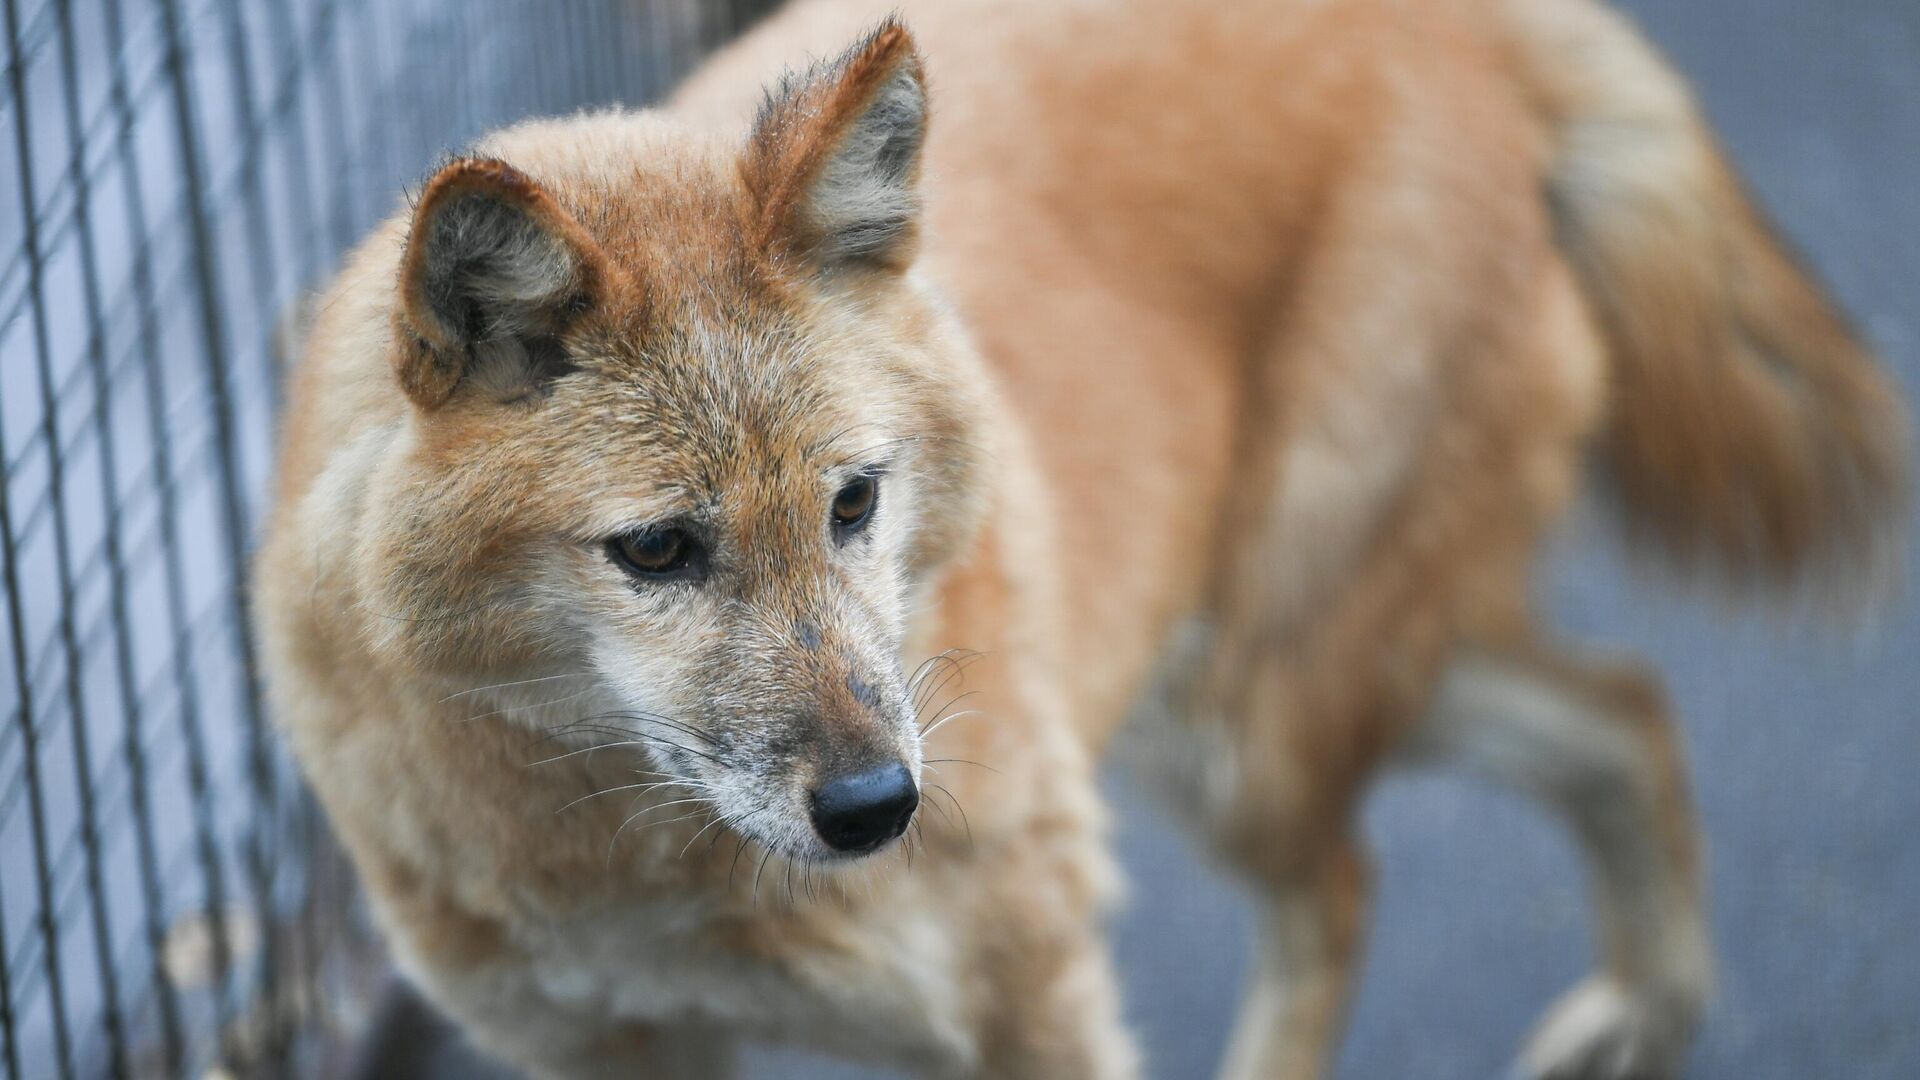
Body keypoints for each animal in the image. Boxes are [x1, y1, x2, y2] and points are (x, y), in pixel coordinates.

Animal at [255, 0, 1904, 1068]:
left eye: (854, 502)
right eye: (658, 550)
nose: (878, 810)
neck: (647, 876)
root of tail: (1450, 19)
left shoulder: (1028, 994)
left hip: (1245, 730)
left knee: (1354, 882)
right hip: (1217, 706)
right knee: (1627, 707)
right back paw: (1647, 1018)